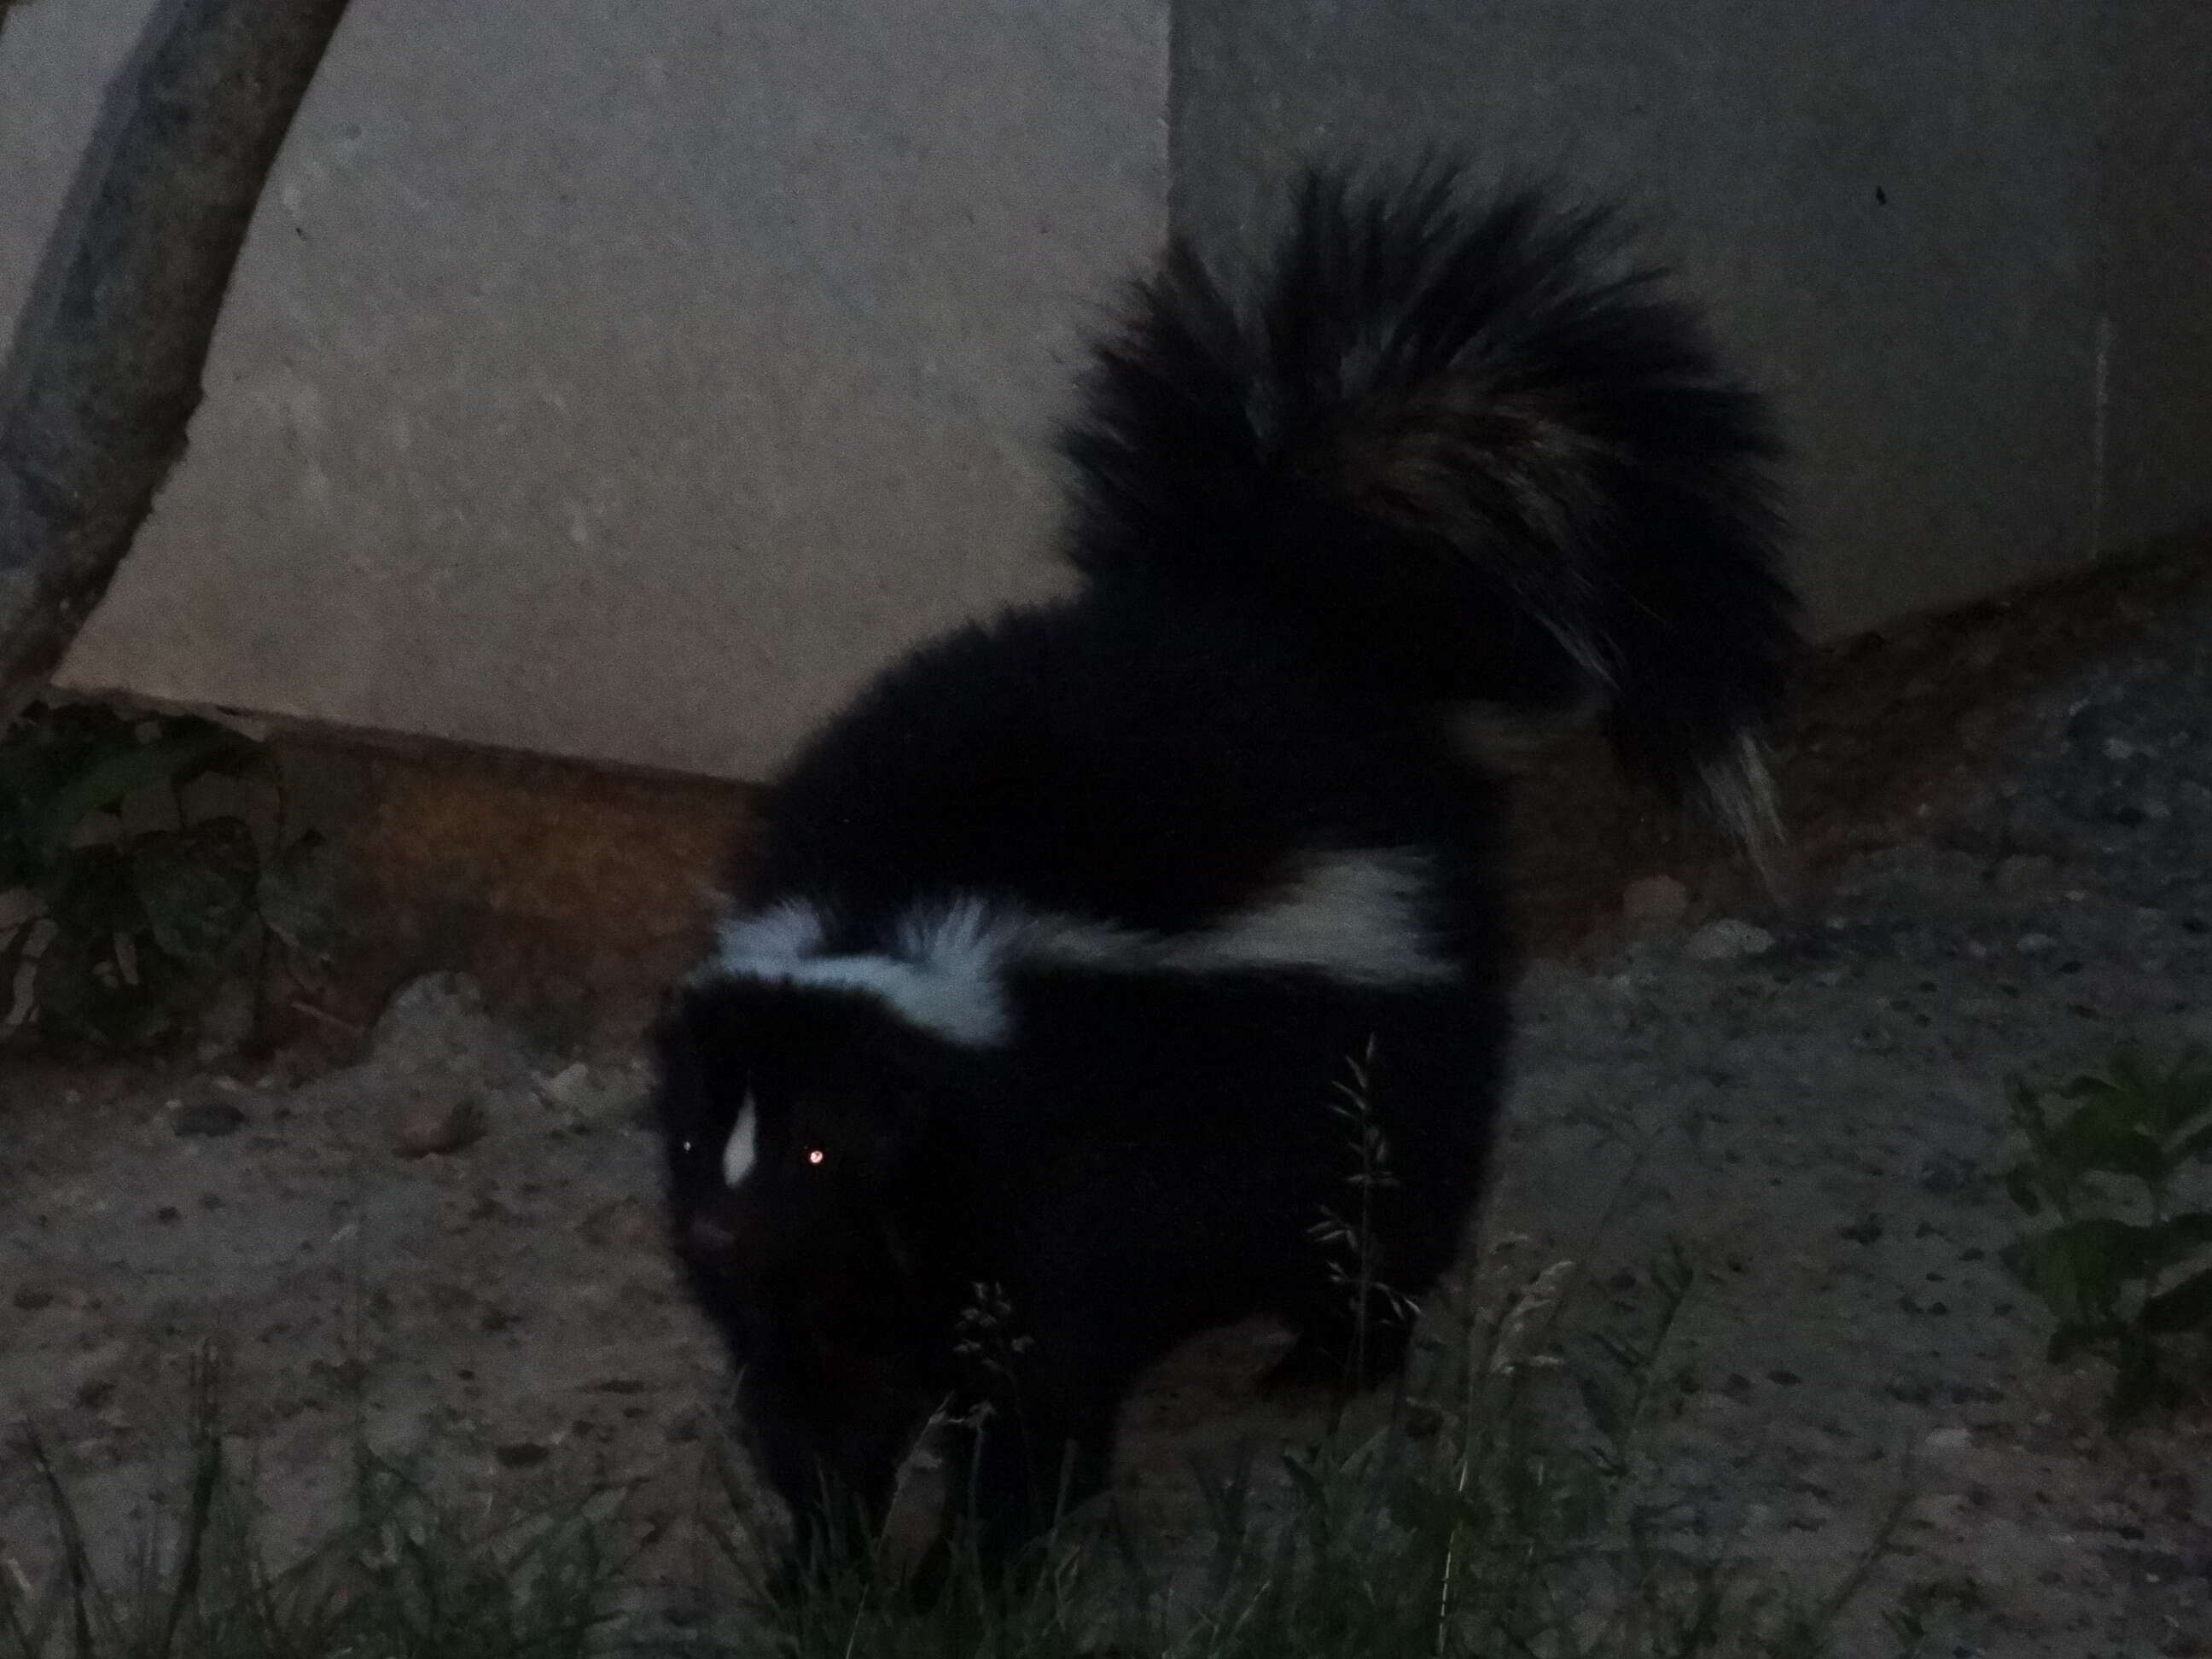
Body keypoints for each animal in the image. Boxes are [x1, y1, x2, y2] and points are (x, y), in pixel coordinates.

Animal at [650, 172, 1796, 1583]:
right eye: (696, 1134)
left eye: (818, 1147)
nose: (715, 1231)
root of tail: (1288, 615)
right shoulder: (845, 1265)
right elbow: (824, 1393)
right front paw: (826, 1567)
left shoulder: (1047, 1176)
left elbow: (1040, 1388)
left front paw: (967, 1577)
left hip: (1383, 1032)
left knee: (1386, 1197)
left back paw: (1336, 1356)